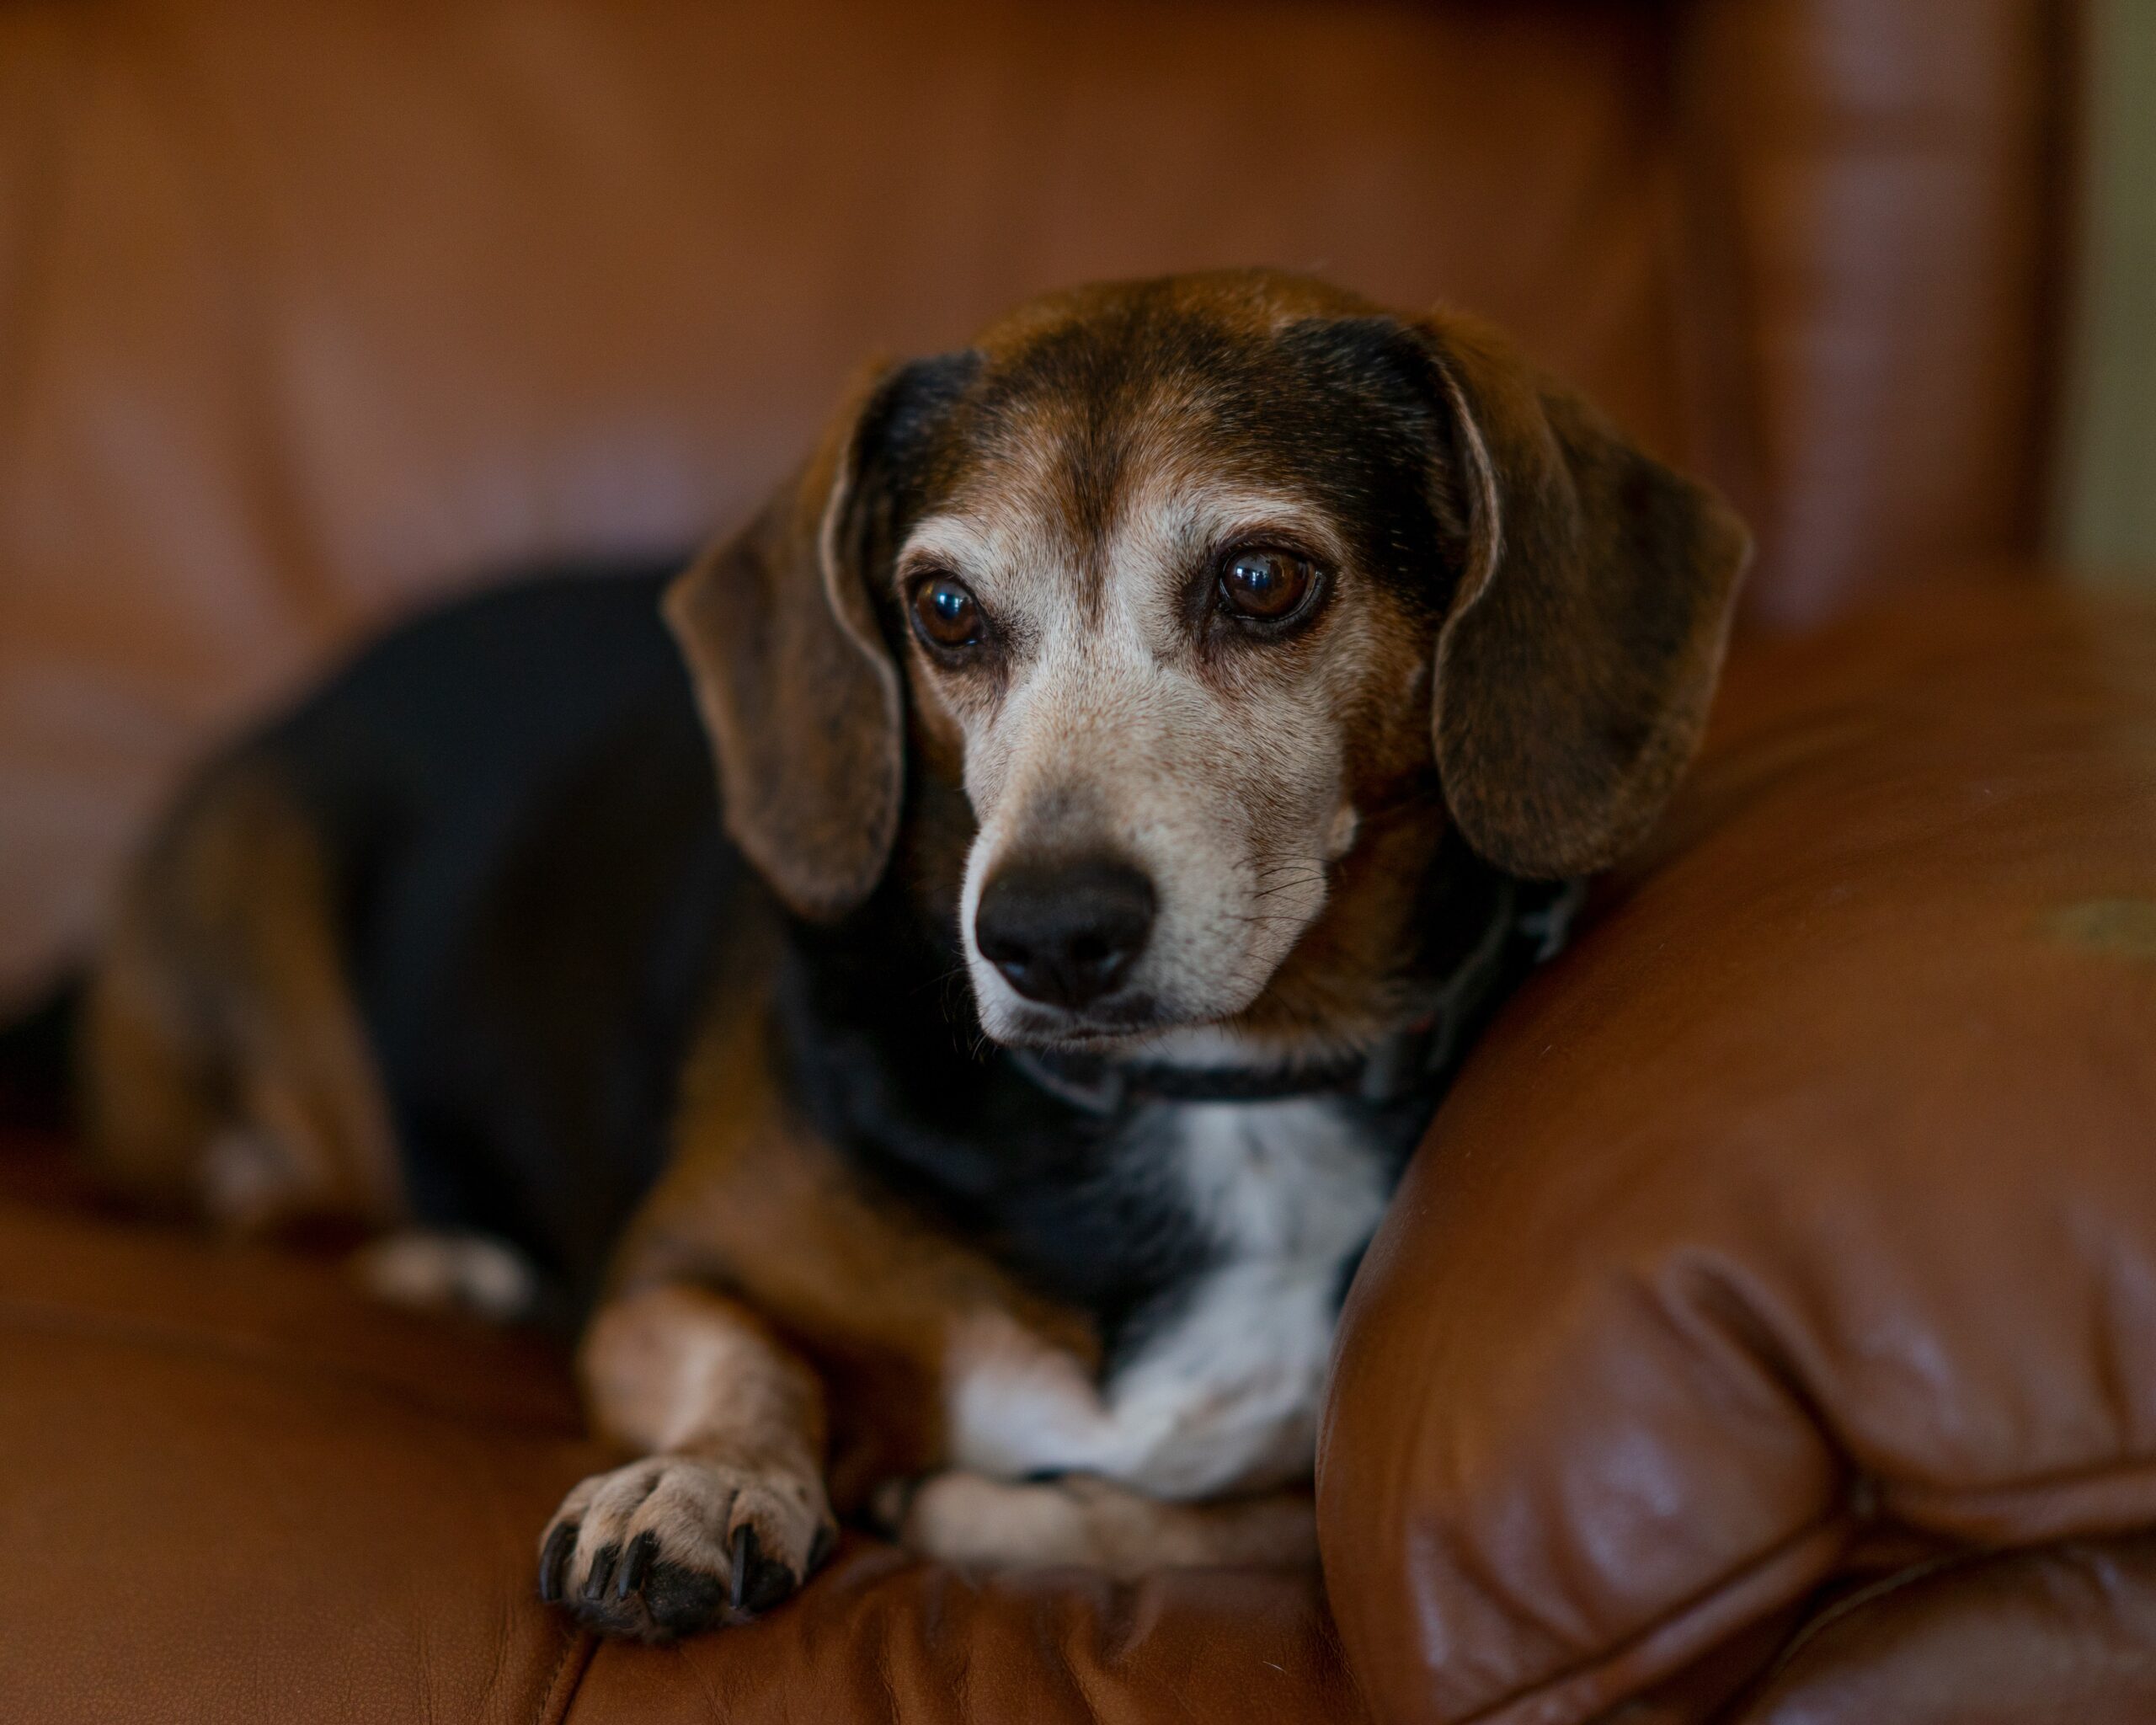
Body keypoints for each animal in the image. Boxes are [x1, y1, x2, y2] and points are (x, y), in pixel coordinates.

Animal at [79, 272, 1750, 1647]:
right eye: (943, 608)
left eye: (1265, 580)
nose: (1046, 932)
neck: (1196, 1106)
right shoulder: (667, 1280)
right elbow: (748, 1358)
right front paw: (699, 1479)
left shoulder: (1292, 1524)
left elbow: (1202, 1522)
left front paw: (961, 1498)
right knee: (258, 1189)